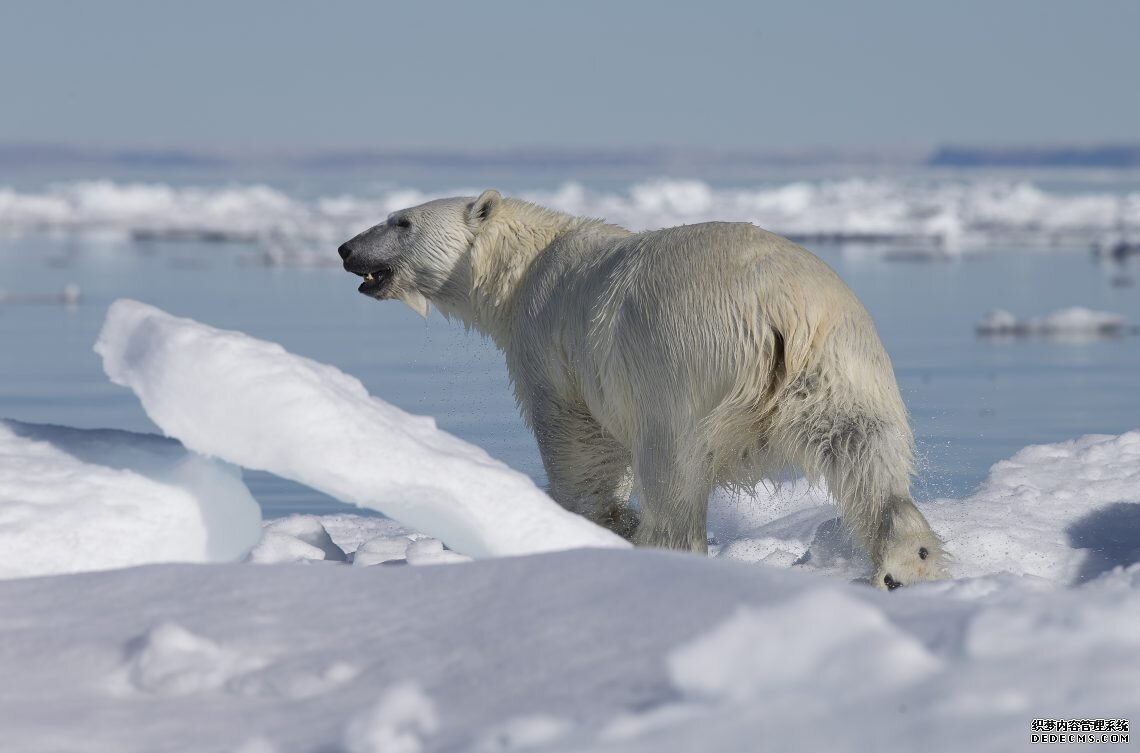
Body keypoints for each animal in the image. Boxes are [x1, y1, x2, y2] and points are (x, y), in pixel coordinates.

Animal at [335, 192, 943, 587]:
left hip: (682, 359)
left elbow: (579, 443)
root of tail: (781, 307)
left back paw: (663, 547)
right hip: (840, 361)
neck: (526, 265)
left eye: (400, 221)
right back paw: (906, 562)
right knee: (862, 449)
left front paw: (588, 523)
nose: (345, 248)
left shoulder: (551, 343)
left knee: (671, 468)